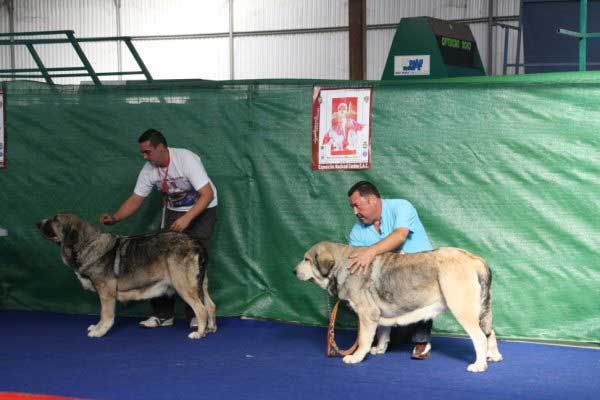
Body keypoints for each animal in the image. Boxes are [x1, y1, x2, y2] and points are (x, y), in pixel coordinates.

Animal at [37, 214, 216, 340]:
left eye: (55, 220)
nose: (37, 223)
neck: (87, 244)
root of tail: (196, 243)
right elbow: (102, 315)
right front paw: (97, 327)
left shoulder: (106, 292)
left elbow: (106, 314)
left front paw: (100, 331)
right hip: (201, 285)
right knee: (210, 306)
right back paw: (211, 328)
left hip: (184, 286)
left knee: (201, 309)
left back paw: (199, 333)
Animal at [294, 242, 502, 374]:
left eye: (306, 259)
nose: (293, 271)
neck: (343, 265)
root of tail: (476, 259)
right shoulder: (378, 314)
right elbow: (383, 332)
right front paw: (379, 349)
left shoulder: (367, 314)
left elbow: (363, 340)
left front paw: (356, 357)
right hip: (482, 310)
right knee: (490, 333)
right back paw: (493, 357)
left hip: (462, 309)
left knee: (480, 337)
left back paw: (479, 365)